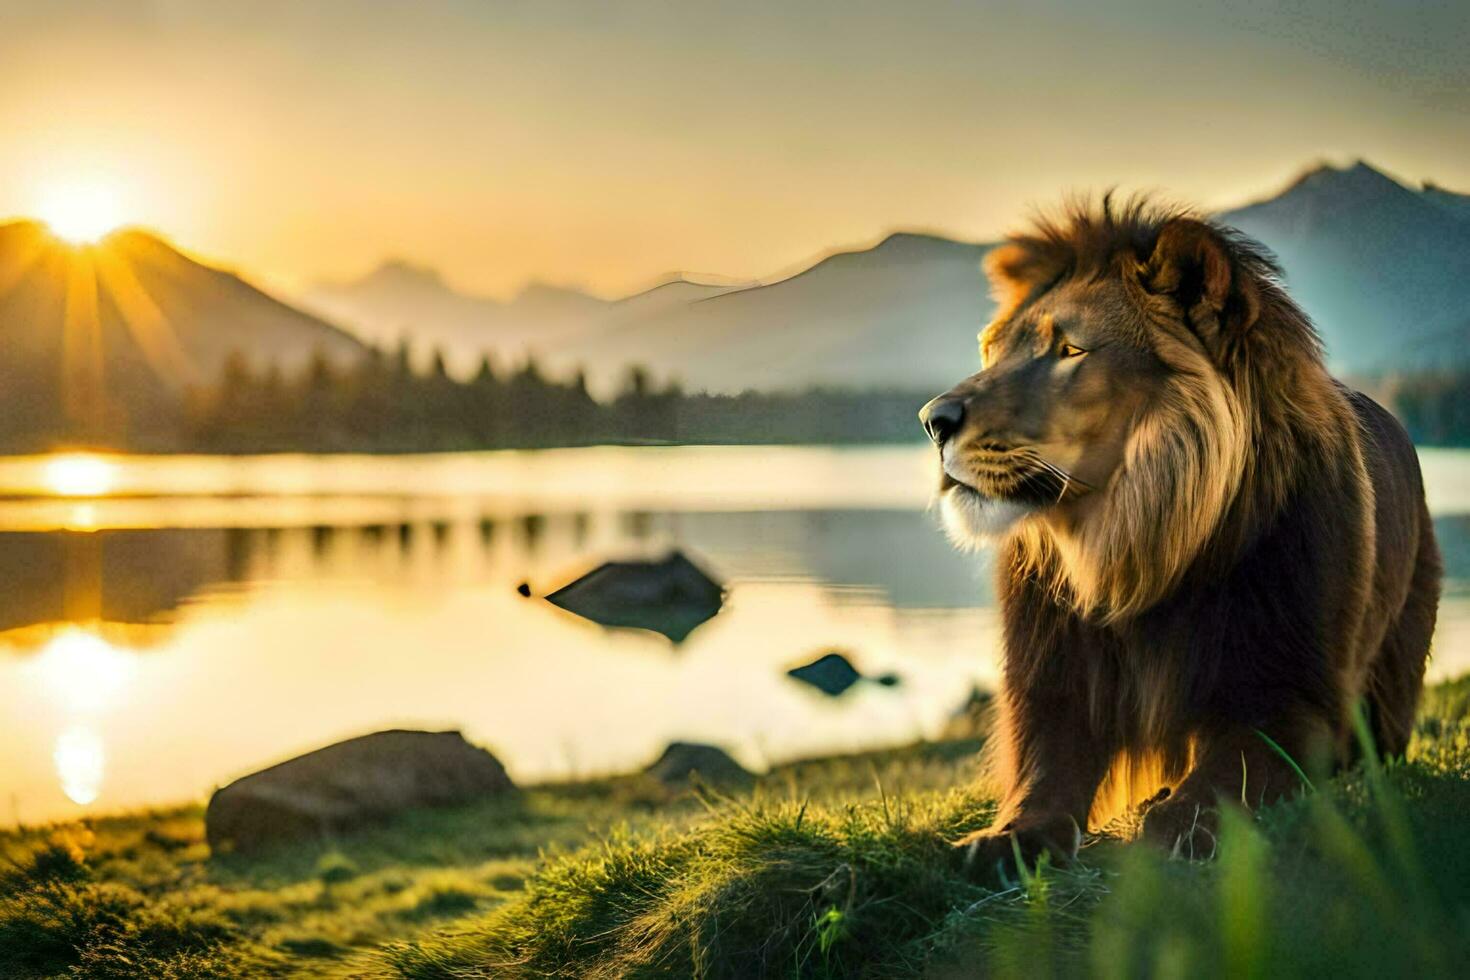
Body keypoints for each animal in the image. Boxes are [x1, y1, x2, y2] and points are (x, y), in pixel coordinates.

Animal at [923, 196, 1440, 863]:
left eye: (1069, 350)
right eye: (993, 349)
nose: (933, 420)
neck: (1135, 540)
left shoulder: (1289, 695)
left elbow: (1234, 770)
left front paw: (1182, 820)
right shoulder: (1054, 688)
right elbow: (1045, 772)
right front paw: (1008, 838)